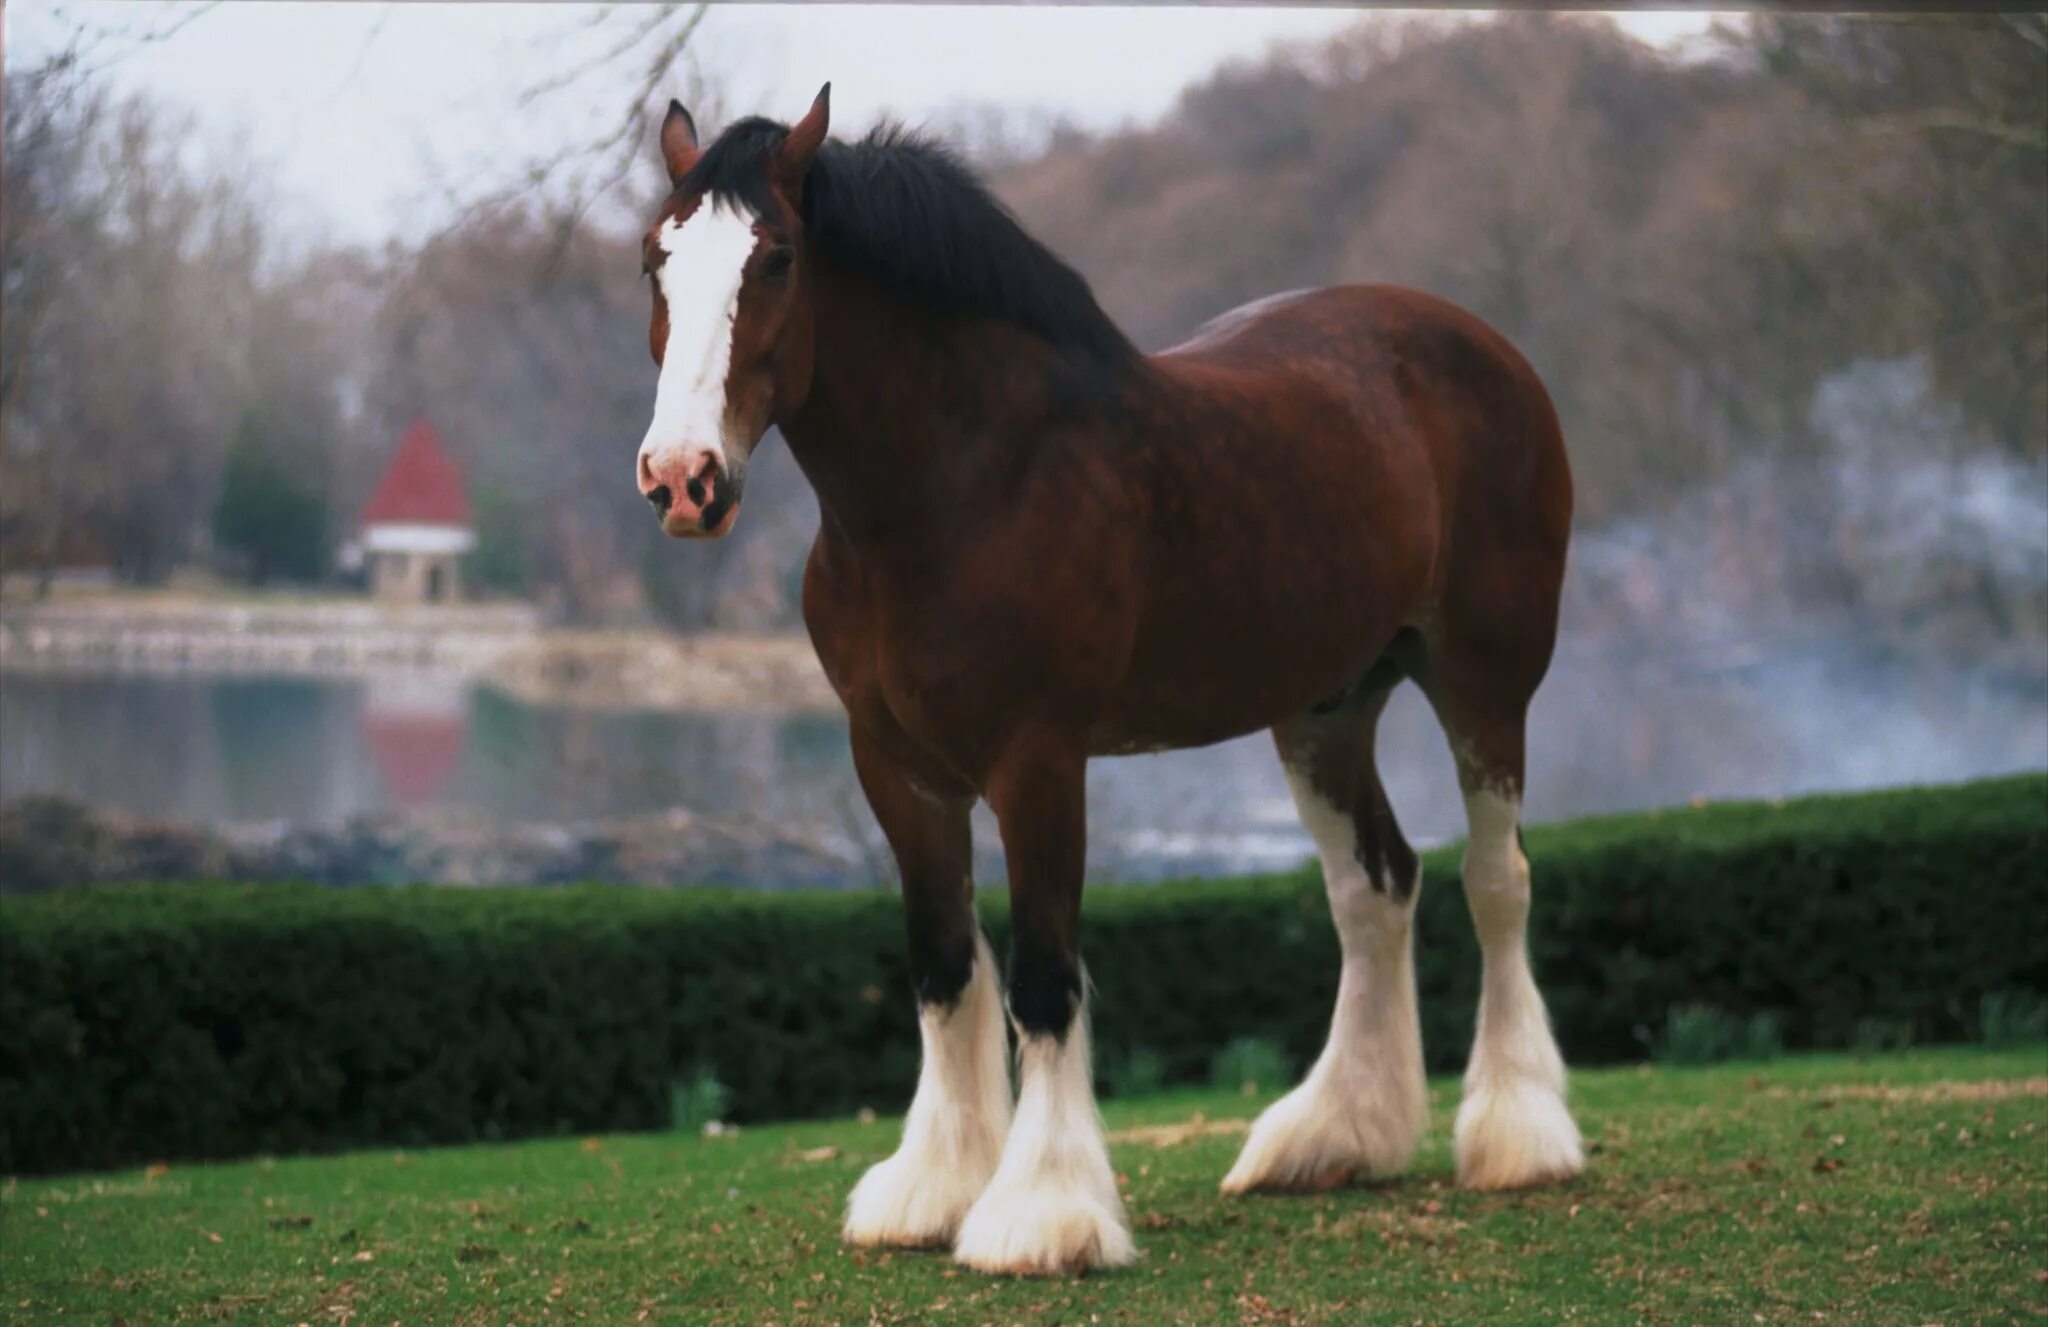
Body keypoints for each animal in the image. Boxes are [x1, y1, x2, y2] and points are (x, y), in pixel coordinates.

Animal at [634, 85, 1581, 1277]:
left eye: (777, 260)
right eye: (654, 261)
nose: (682, 480)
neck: (961, 482)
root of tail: (1485, 347)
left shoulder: (1037, 760)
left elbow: (1044, 975)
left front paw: (1041, 1212)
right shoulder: (894, 763)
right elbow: (943, 965)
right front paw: (932, 1187)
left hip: (1485, 680)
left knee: (1495, 879)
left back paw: (1517, 1133)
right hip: (1324, 709)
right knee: (1375, 886)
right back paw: (1331, 1135)